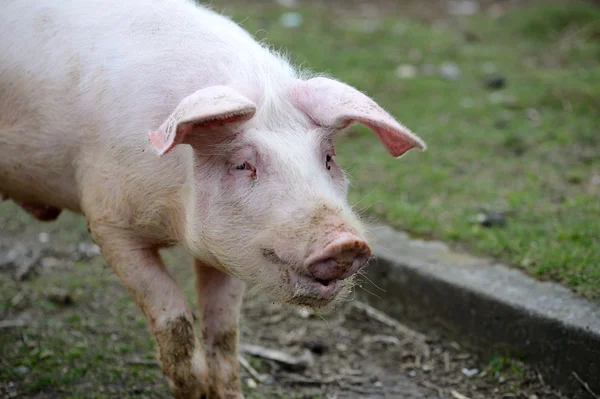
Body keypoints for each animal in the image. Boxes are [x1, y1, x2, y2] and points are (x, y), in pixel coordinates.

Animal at [0, 1, 424, 398]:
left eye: (329, 159)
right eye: (241, 164)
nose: (345, 243)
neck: (172, 217)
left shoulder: (231, 249)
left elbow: (224, 328)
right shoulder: (107, 219)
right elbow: (172, 315)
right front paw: (191, 387)